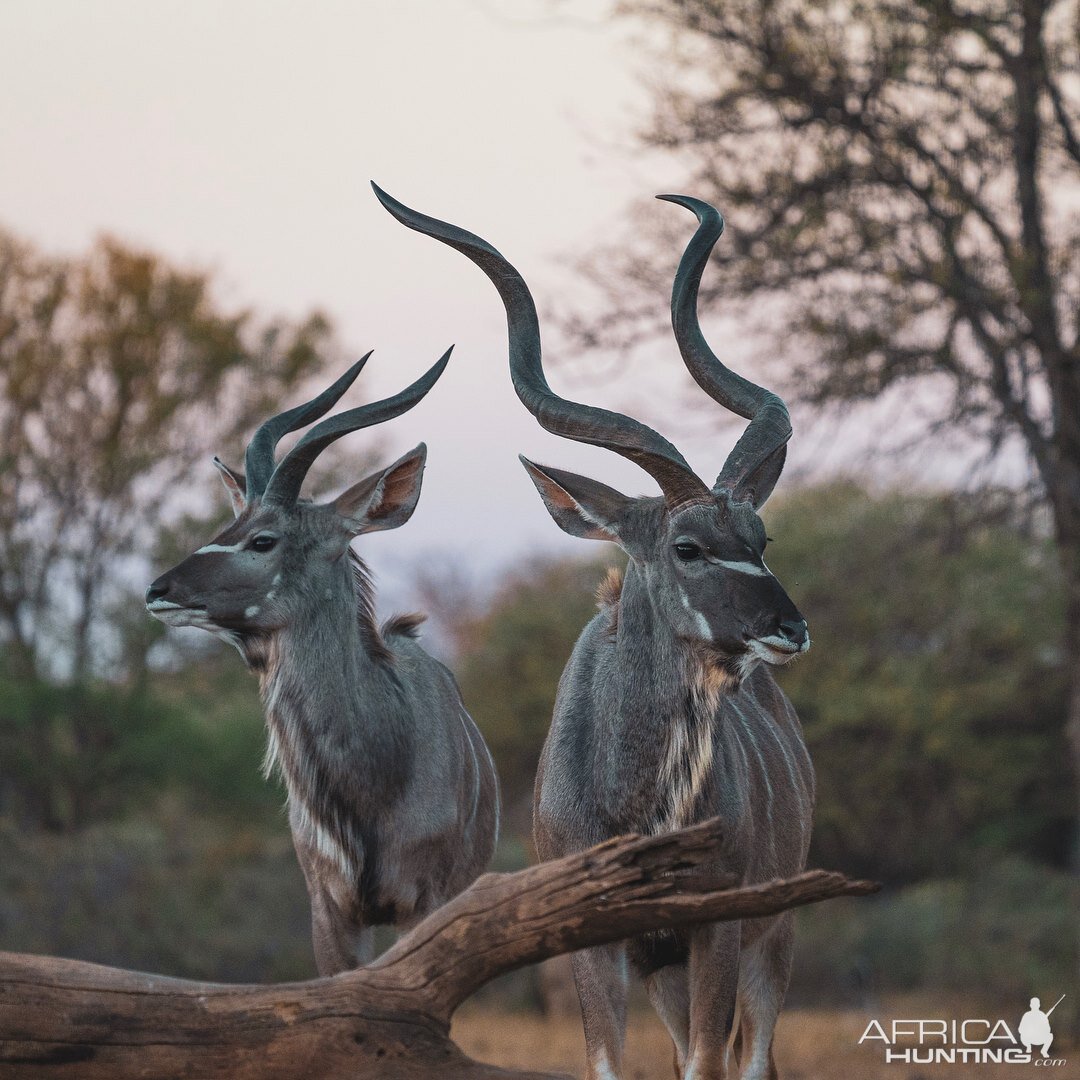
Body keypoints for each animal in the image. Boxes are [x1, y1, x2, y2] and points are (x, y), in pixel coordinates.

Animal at [375, 185, 812, 1080]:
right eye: (687, 546)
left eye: (760, 536)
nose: (789, 627)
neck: (639, 804)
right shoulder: (597, 945)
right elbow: (610, 1061)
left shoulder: (717, 928)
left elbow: (710, 1063)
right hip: (665, 968)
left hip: (771, 938)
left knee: (753, 1054)